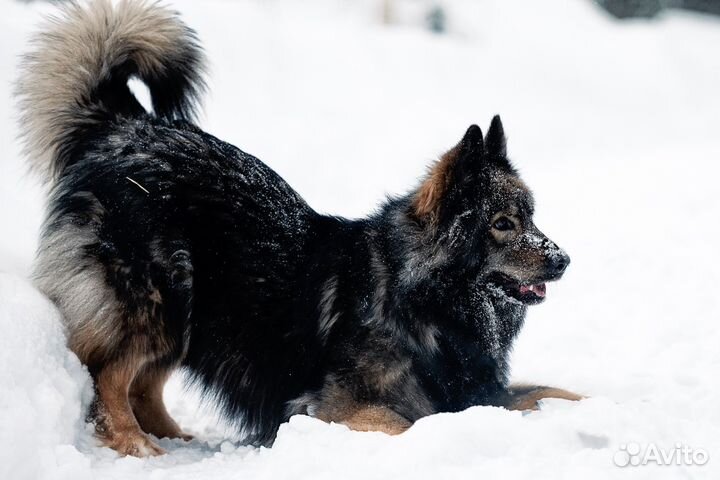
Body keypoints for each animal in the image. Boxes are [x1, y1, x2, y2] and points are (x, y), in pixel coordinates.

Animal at [15, 0, 580, 458]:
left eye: (531, 216)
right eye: (503, 224)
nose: (564, 259)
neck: (421, 298)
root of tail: (126, 128)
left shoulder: (476, 390)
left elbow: (554, 391)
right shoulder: (337, 406)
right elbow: (409, 425)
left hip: (191, 317)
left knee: (143, 385)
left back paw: (174, 439)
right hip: (162, 298)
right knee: (111, 377)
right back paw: (134, 444)